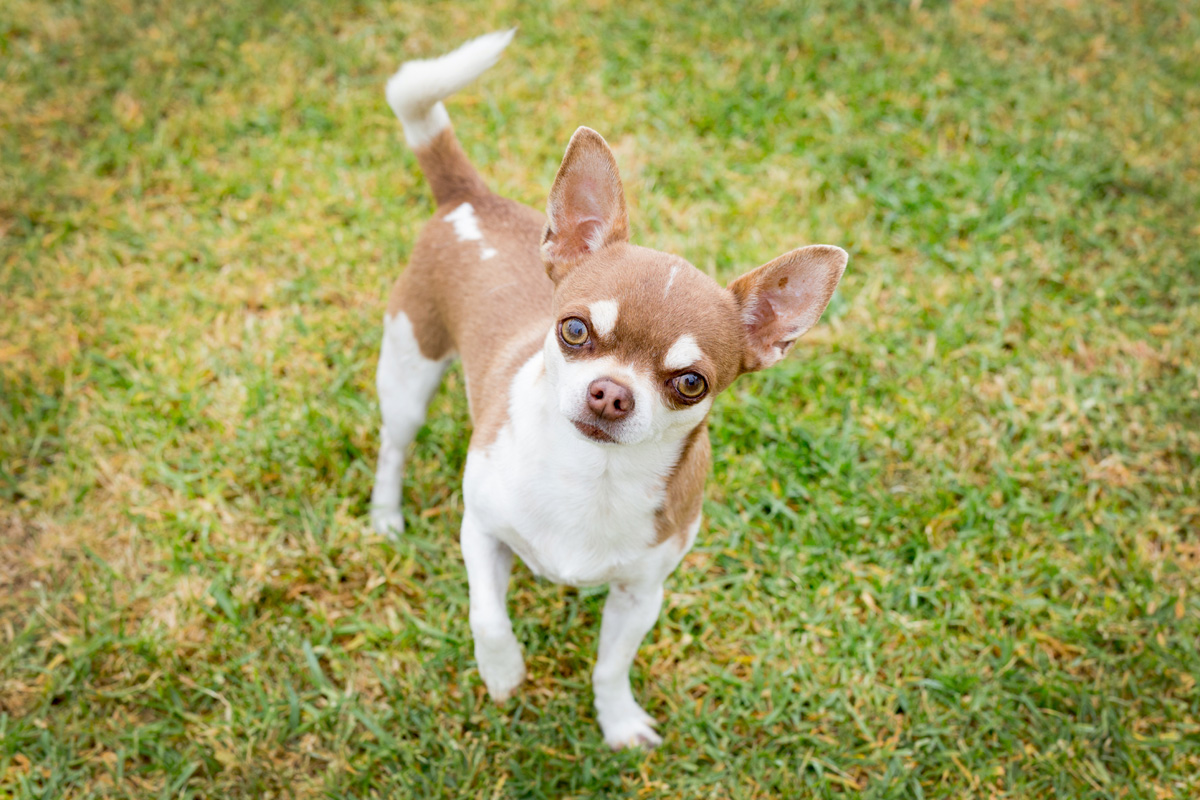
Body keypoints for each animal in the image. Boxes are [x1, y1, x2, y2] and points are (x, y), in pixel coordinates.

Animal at [369, 28, 849, 748]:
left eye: (690, 382)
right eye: (574, 329)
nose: (610, 393)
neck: (592, 474)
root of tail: (469, 199)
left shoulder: (640, 595)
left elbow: (610, 665)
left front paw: (618, 723)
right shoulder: (480, 534)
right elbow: (487, 615)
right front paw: (503, 673)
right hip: (409, 366)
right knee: (394, 445)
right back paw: (385, 514)